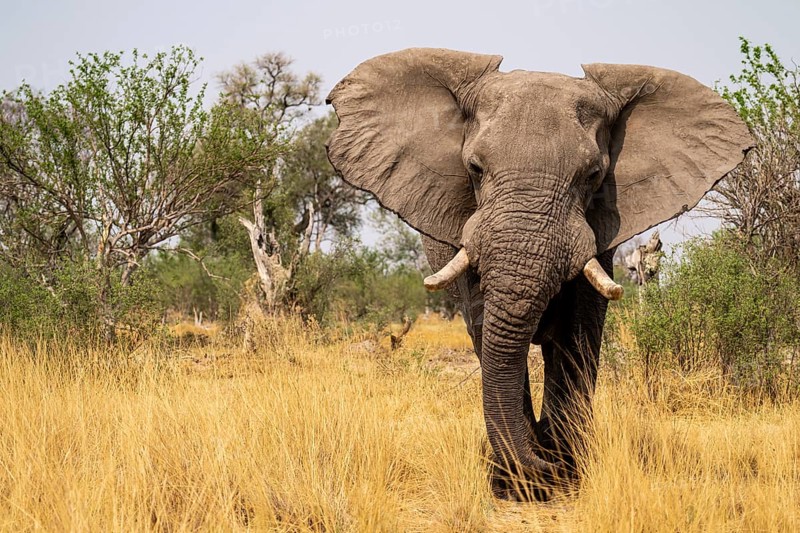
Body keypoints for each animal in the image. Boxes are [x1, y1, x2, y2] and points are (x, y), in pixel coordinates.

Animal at [325, 48, 752, 500]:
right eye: (474, 168)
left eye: (593, 176)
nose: (545, 465)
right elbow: (489, 330)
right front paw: (521, 481)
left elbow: (578, 334)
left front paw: (563, 472)